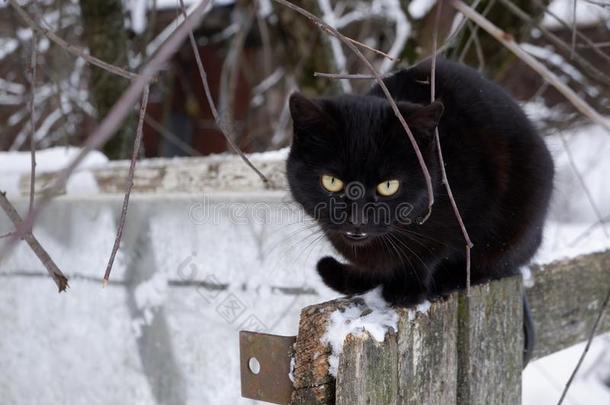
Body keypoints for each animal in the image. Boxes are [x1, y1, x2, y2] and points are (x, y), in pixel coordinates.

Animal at [284, 58, 552, 358]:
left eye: (388, 186)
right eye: (331, 182)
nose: (357, 219)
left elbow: (432, 250)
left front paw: (408, 290)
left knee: (497, 265)